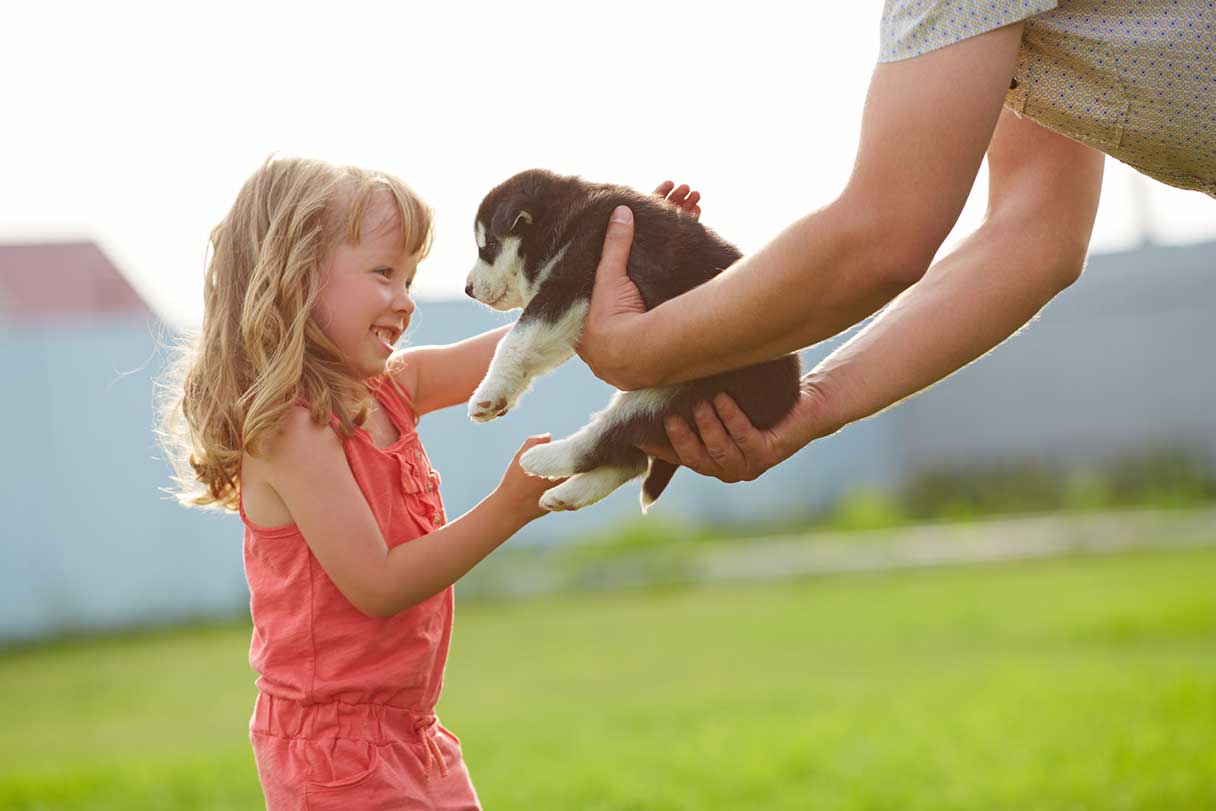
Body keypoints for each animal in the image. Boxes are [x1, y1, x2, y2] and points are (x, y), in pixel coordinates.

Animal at [464, 170, 797, 513]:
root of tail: (788, 397)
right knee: (630, 457)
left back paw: (543, 459)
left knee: (609, 440)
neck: (565, 221)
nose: (467, 289)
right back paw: (564, 495)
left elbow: (514, 341)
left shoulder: (571, 280)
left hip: (677, 399)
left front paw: (486, 396)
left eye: (488, 245)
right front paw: (502, 398)